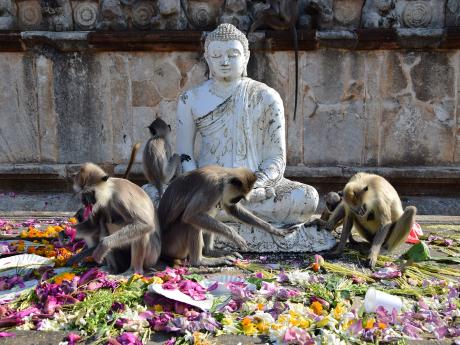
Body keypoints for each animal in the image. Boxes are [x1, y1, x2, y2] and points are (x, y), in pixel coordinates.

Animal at [156, 165, 296, 264]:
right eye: (238, 197)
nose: (237, 201)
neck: (222, 177)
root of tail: (162, 250)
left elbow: (232, 210)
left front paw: (276, 230)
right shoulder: (212, 186)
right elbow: (190, 215)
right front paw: (236, 237)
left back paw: (210, 252)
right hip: (174, 244)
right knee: (191, 221)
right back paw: (200, 261)